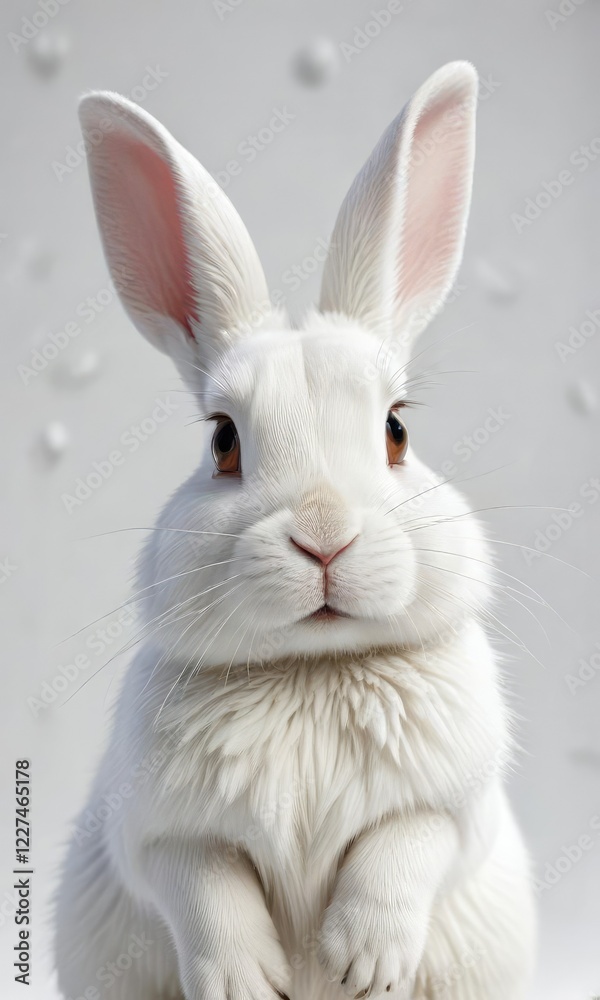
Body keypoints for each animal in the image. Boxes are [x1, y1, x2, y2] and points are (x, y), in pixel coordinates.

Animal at [55, 61, 536, 1000]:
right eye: (222, 442)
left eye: (397, 429)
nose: (323, 537)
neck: (310, 671)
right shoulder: (158, 835)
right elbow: (205, 889)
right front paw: (246, 982)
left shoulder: (453, 807)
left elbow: (404, 848)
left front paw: (362, 963)